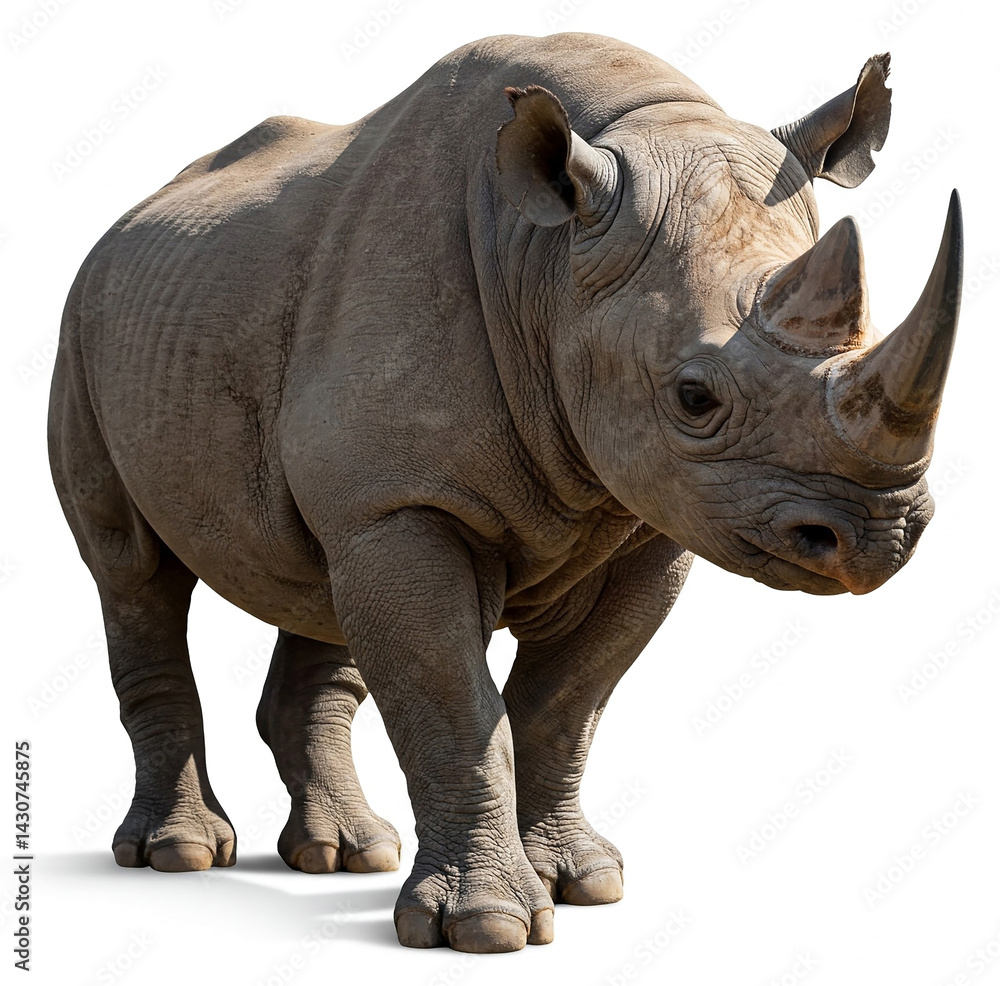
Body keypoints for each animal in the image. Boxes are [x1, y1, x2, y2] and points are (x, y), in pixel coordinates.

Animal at [48, 33, 962, 953]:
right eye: (694, 398)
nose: (878, 537)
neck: (549, 262)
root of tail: (126, 219)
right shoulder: (409, 501)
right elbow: (454, 703)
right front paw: (486, 928)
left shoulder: (647, 518)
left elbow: (565, 702)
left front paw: (582, 883)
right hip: (82, 328)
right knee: (132, 572)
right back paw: (180, 855)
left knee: (320, 581)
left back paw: (347, 854)